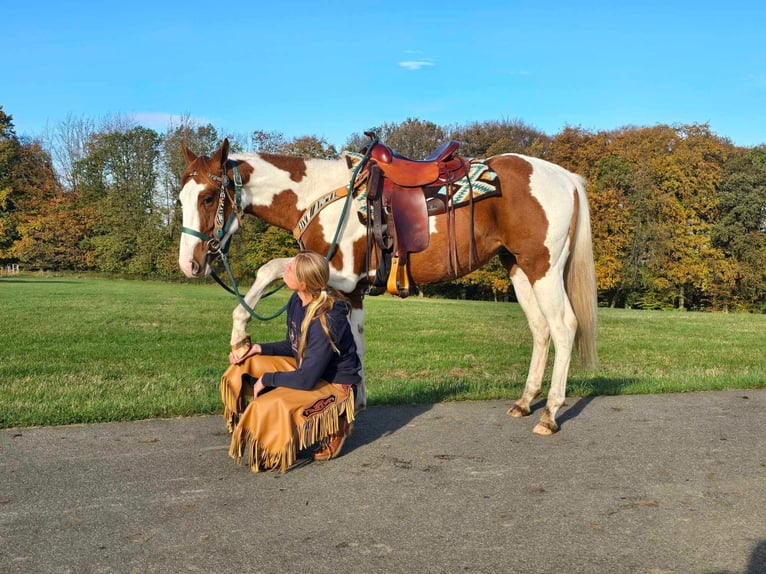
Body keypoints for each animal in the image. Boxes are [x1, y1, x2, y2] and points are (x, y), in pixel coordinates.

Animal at [180, 140, 600, 436]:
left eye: (208, 197)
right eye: (181, 198)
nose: (189, 264)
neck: (322, 197)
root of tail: (565, 178)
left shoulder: (339, 274)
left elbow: (271, 269)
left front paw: (239, 332)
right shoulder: (351, 291)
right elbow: (355, 342)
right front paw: (358, 400)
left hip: (543, 267)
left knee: (563, 327)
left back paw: (549, 414)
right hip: (518, 269)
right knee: (541, 329)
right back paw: (525, 402)